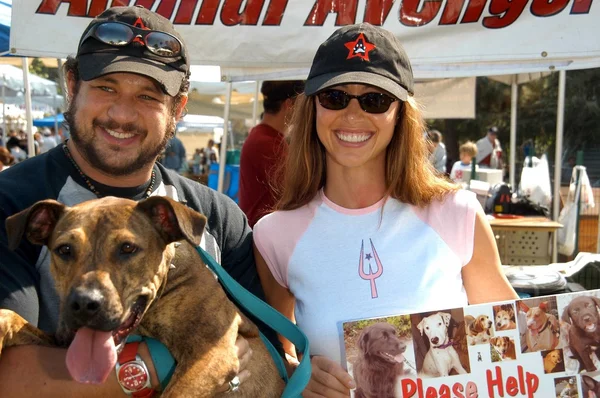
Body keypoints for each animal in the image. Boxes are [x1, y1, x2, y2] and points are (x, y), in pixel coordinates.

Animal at [0, 197, 286, 398]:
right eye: (64, 250)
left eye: (128, 248)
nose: (83, 304)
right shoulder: (66, 342)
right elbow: (14, 319)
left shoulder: (212, 354)